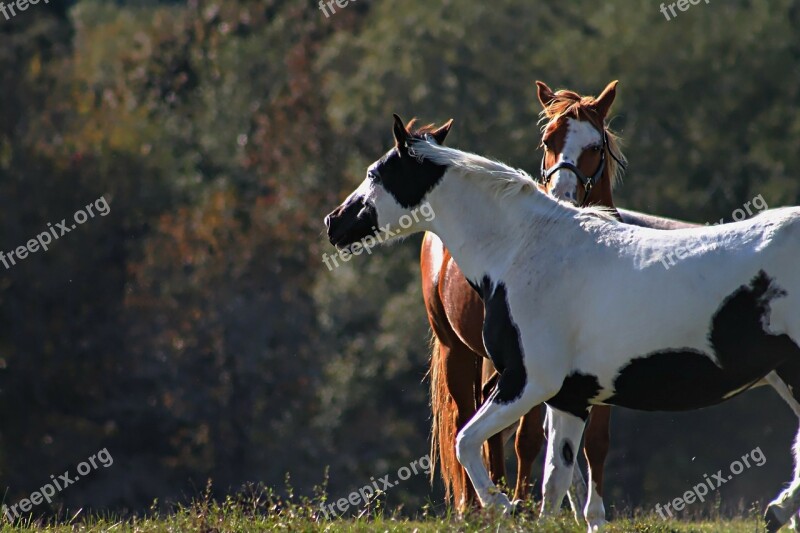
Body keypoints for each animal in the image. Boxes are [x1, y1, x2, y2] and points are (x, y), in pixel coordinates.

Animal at [324, 114, 800, 528]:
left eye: (376, 173)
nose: (334, 222)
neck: (524, 249)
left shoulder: (528, 383)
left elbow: (466, 443)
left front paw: (502, 505)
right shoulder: (570, 398)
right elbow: (555, 482)